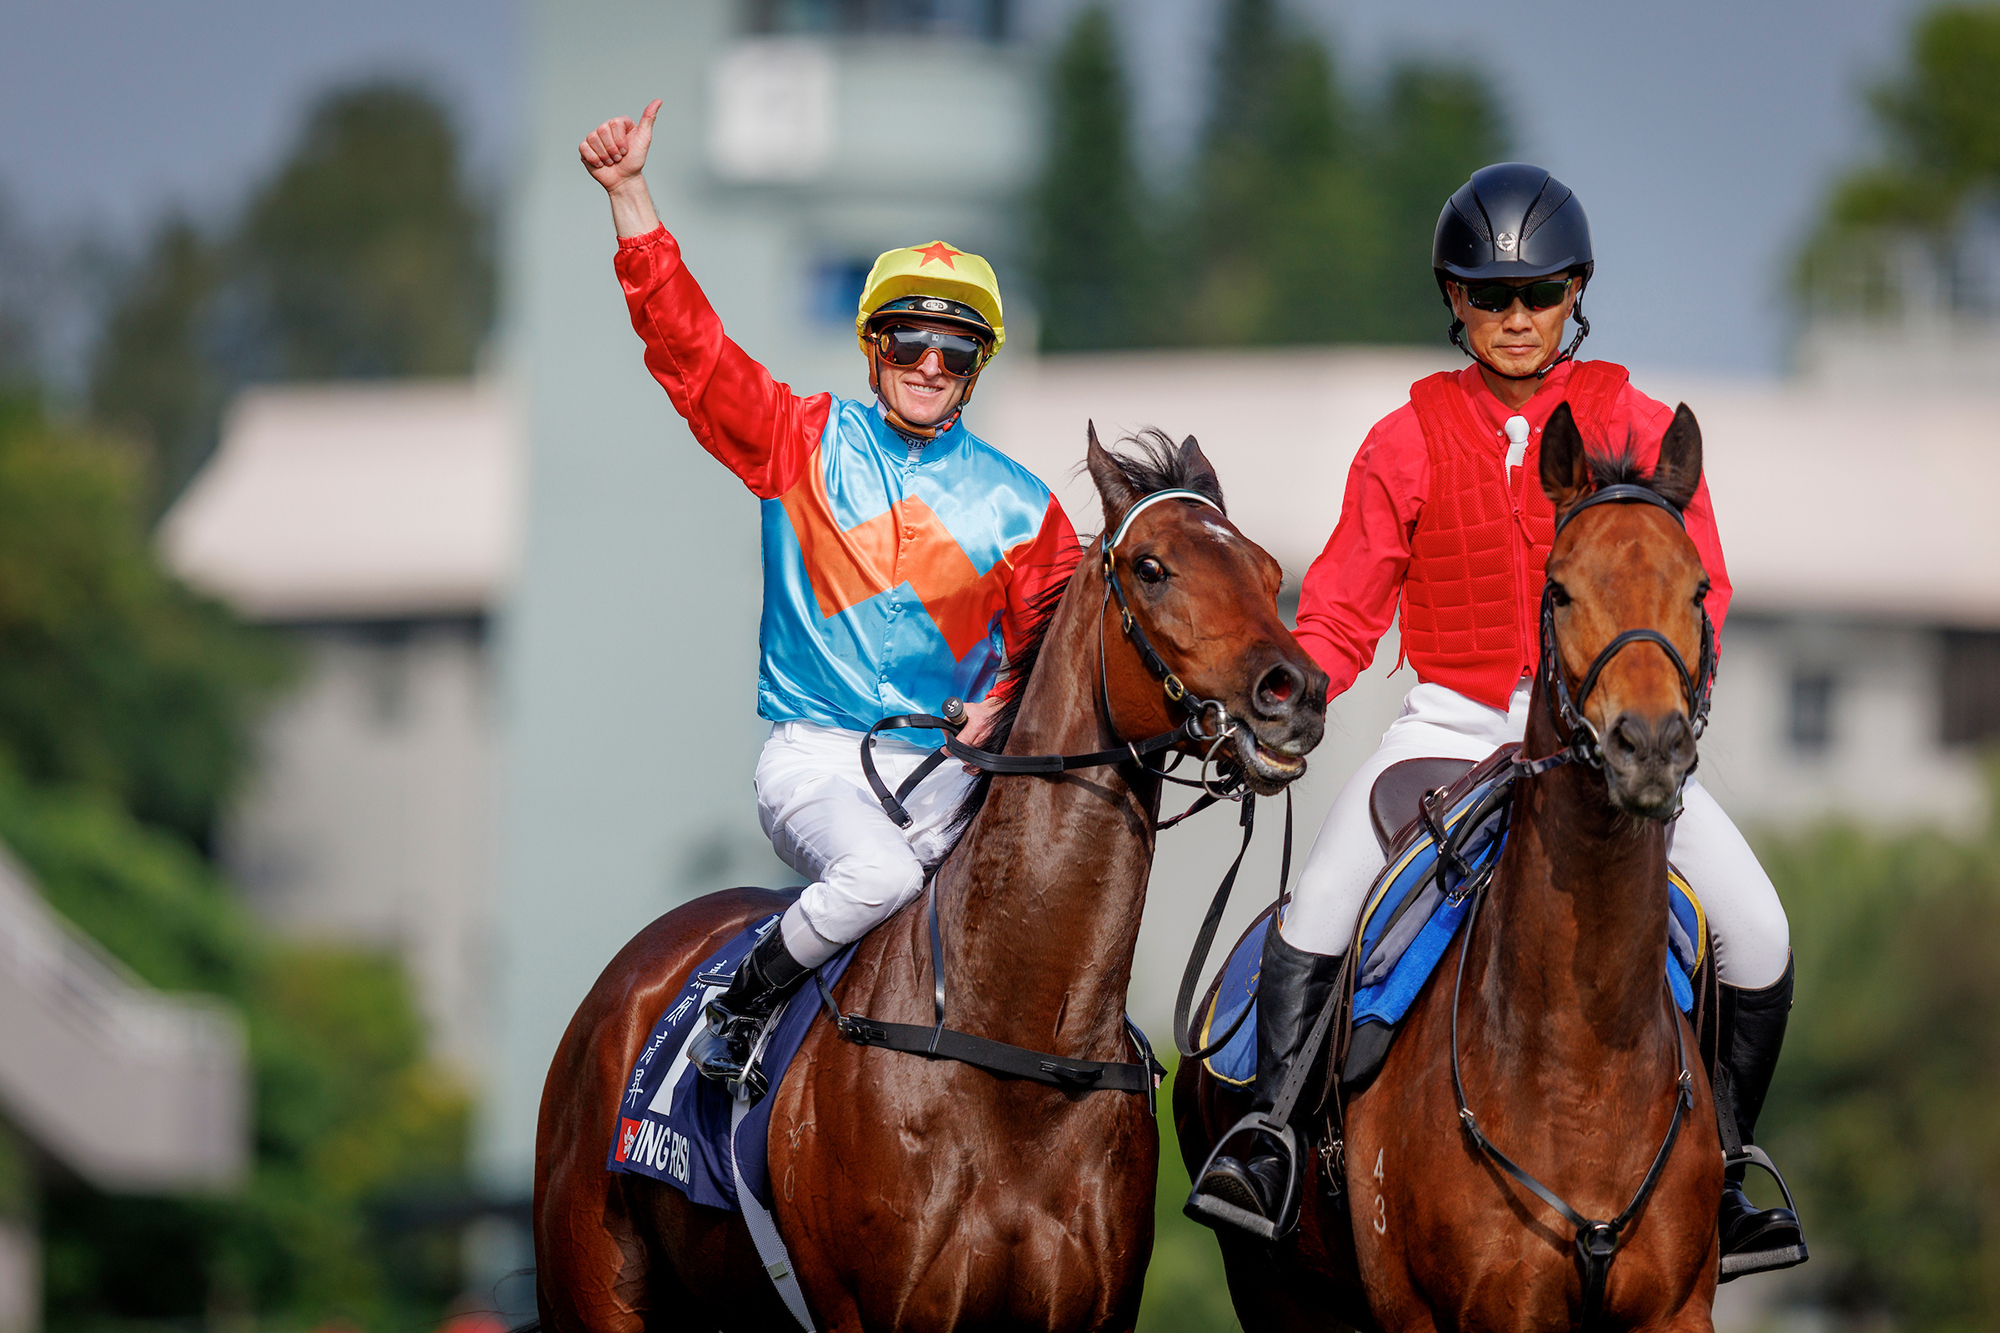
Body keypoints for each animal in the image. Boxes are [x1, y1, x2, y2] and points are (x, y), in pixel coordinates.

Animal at [1176, 404, 1728, 1328]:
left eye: (1697, 590)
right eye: (1560, 589)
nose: (1648, 744)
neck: (1581, 1068)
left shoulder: (1676, 1310)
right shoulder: (1459, 1312)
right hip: (1275, 1291)